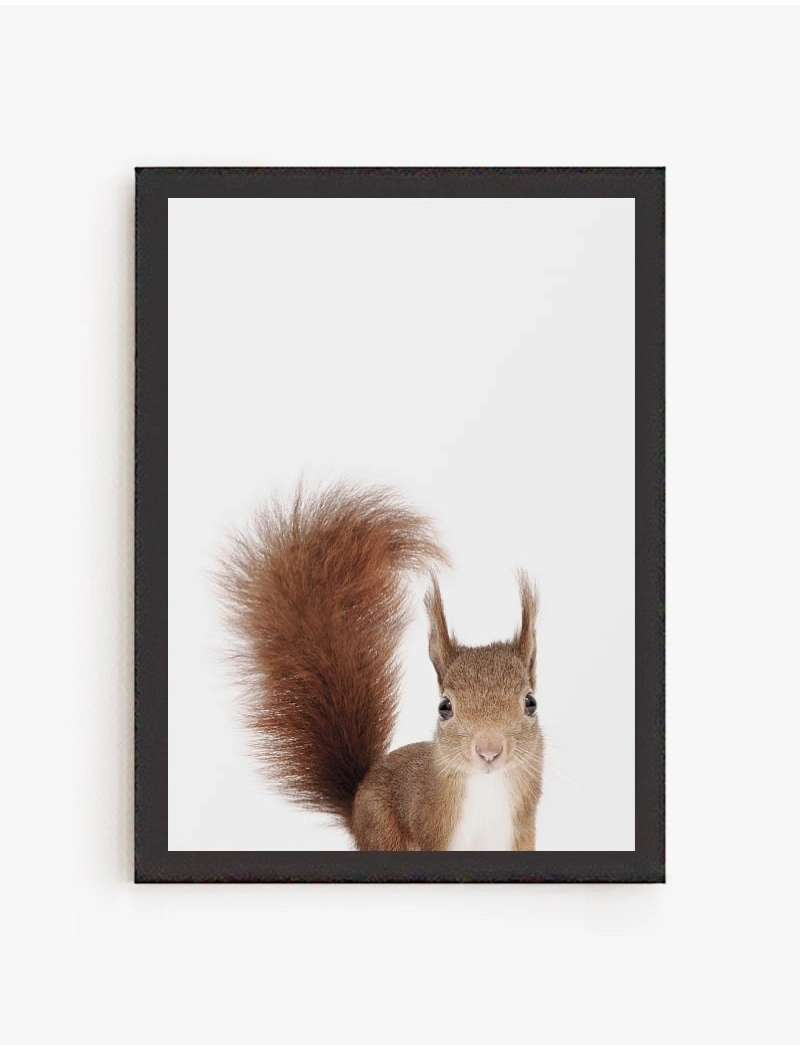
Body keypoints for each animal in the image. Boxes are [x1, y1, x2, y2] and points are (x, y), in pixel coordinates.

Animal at [220, 482, 543, 851]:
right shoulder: (432, 826)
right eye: (444, 707)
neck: (487, 788)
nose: (489, 751)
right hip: (382, 832)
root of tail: (357, 804)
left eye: (531, 703)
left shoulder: (520, 835)